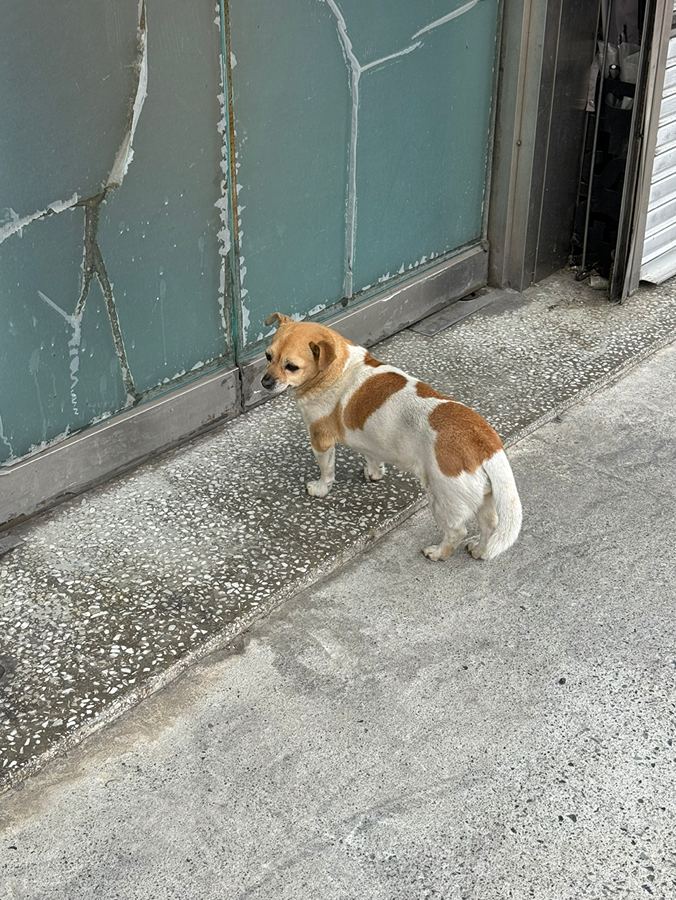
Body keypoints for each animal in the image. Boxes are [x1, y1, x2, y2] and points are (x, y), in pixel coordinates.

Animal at [262, 312, 520, 560]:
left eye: (291, 366)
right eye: (267, 356)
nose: (265, 382)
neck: (338, 368)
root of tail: (485, 443)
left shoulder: (320, 439)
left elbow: (327, 471)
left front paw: (320, 489)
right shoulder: (370, 441)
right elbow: (372, 457)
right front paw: (373, 474)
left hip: (444, 499)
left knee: (457, 531)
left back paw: (438, 553)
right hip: (485, 497)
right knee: (490, 526)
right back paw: (479, 551)